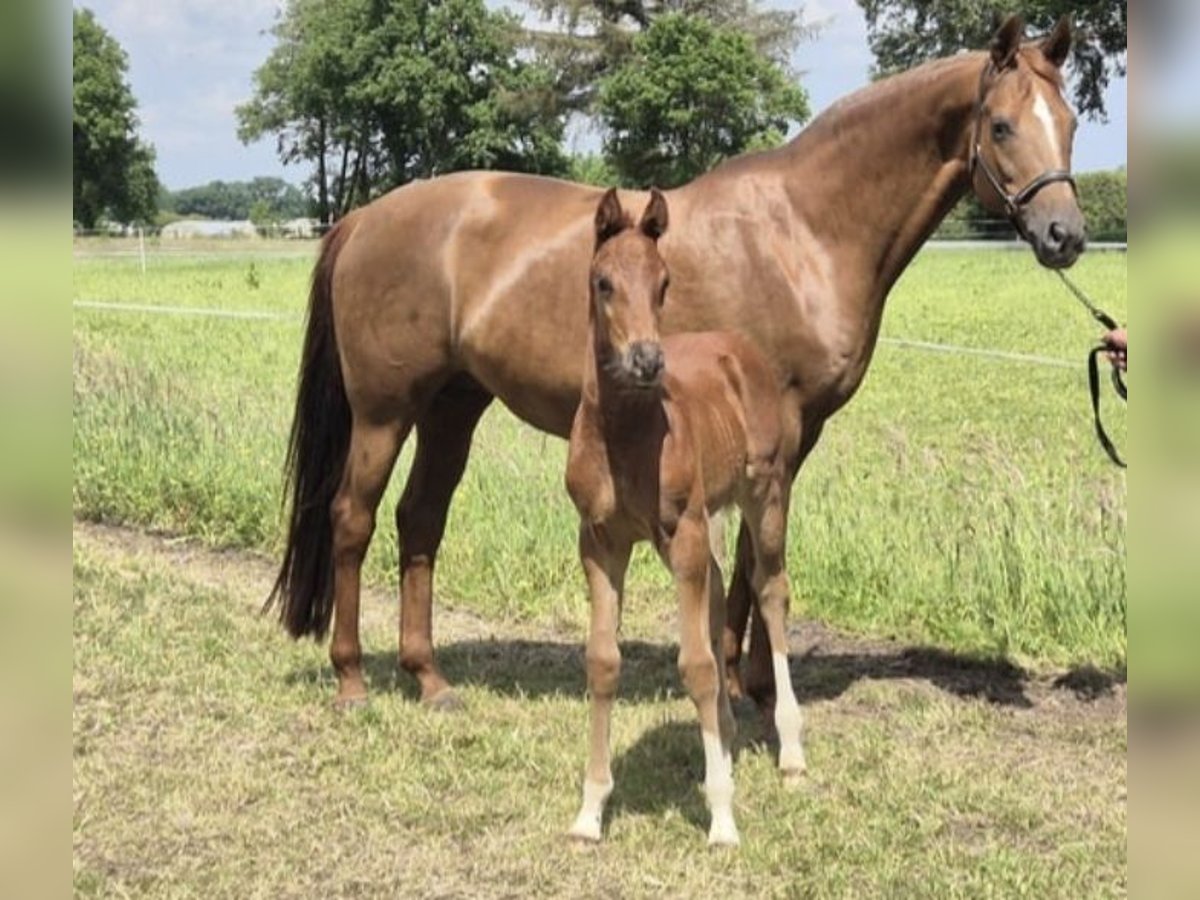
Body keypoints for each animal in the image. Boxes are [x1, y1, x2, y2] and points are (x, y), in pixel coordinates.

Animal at [564, 188, 806, 844]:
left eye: (663, 281)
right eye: (602, 282)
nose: (647, 360)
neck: (625, 437)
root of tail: (739, 346)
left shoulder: (684, 535)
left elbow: (695, 663)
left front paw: (721, 815)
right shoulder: (600, 543)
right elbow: (603, 661)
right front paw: (590, 811)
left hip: (766, 493)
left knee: (770, 589)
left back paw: (791, 751)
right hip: (712, 515)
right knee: (724, 588)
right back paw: (724, 737)